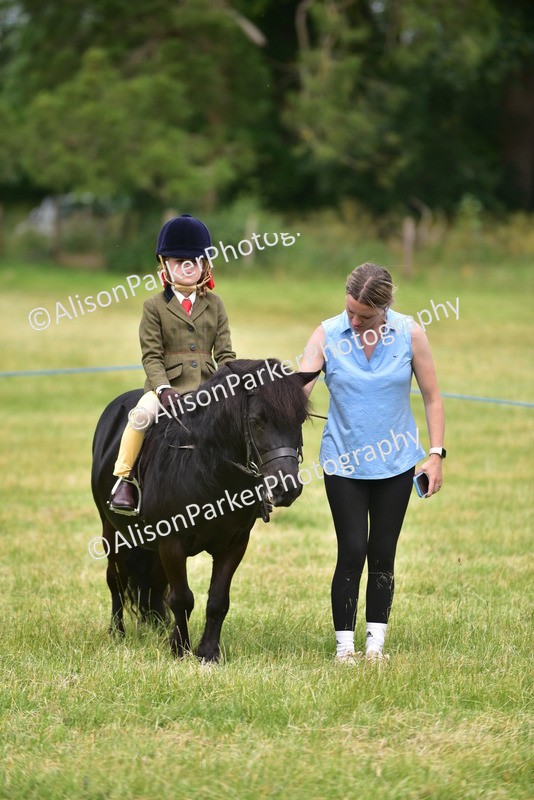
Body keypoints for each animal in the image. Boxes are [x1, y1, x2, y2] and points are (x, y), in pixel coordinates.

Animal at [91, 359, 317, 662]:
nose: (287, 488)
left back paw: (159, 627)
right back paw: (117, 632)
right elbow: (182, 598)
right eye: (257, 421)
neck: (210, 471)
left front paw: (208, 652)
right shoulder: (172, 543)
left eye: (299, 421)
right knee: (115, 578)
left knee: (155, 582)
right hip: (111, 530)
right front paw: (180, 649)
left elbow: (217, 601)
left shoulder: (234, 544)